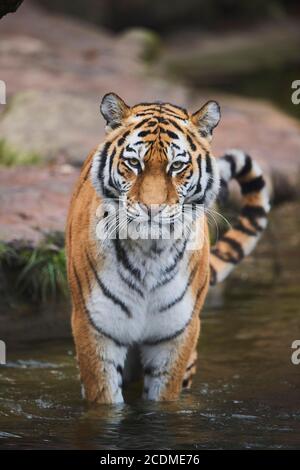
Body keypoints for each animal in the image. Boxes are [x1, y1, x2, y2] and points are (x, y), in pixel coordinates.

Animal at [65, 92, 270, 404]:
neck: (150, 253)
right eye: (133, 163)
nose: (152, 209)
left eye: (176, 166)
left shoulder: (176, 335)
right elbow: (105, 399)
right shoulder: (96, 330)